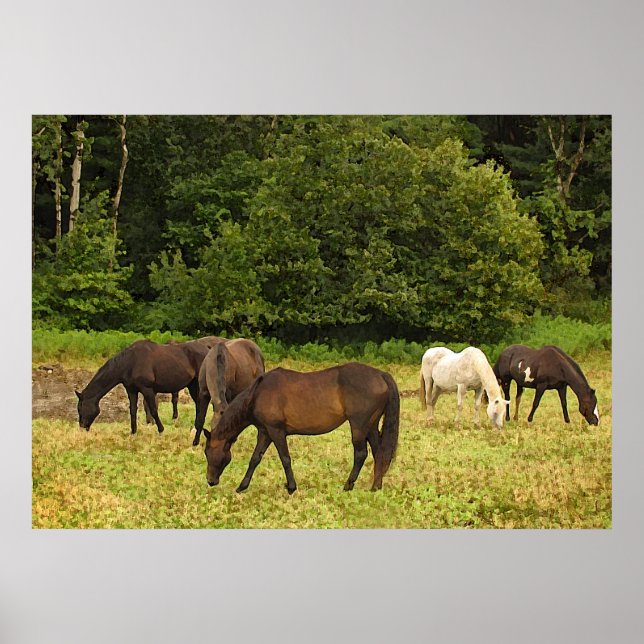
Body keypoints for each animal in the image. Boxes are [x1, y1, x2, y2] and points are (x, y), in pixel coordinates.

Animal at [75, 339, 211, 434]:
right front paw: (133, 432)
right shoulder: (131, 391)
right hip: (192, 385)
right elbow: (133, 410)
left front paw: (161, 429)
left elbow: (153, 410)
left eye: (80, 408)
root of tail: (208, 350)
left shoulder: (147, 389)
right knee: (198, 405)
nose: (82, 427)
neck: (130, 362)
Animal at [203, 362, 400, 494]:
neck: (257, 394)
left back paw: (348, 485)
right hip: (371, 426)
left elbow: (285, 459)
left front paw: (291, 487)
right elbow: (255, 459)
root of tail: (381, 375)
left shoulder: (276, 431)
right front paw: (242, 486)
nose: (210, 481)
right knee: (379, 454)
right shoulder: (265, 432)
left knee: (361, 454)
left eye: (207, 452)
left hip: (359, 426)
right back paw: (376, 486)